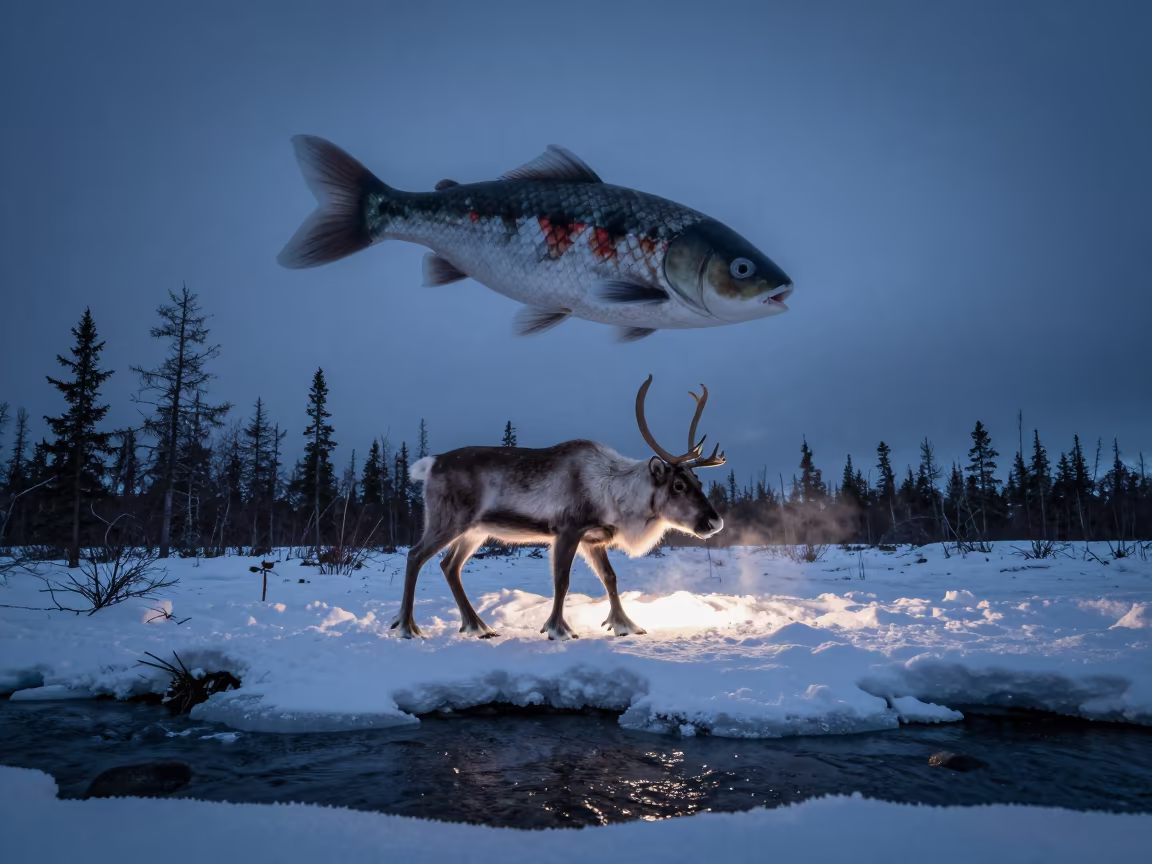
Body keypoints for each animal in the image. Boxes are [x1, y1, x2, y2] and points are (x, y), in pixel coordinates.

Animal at [391, 375, 727, 641]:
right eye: (678, 485)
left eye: (698, 480)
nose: (715, 522)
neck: (613, 492)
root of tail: (430, 464)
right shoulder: (567, 529)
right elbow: (562, 580)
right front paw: (558, 629)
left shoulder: (594, 538)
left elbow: (610, 578)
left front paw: (626, 625)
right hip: (448, 519)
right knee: (415, 555)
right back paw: (408, 627)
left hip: (474, 531)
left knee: (449, 566)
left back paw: (478, 626)